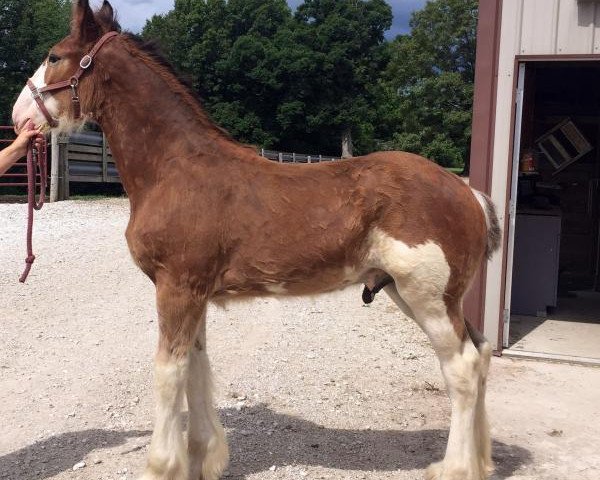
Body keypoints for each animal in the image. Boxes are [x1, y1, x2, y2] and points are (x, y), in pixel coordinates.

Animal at [12, 1, 502, 478]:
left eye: (54, 56)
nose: (19, 117)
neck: (174, 169)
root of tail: (469, 194)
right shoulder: (193, 292)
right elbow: (196, 367)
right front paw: (202, 459)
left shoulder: (177, 287)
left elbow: (169, 373)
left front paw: (163, 465)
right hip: (417, 294)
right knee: (479, 354)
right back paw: (480, 460)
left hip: (427, 297)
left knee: (461, 369)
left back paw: (456, 468)